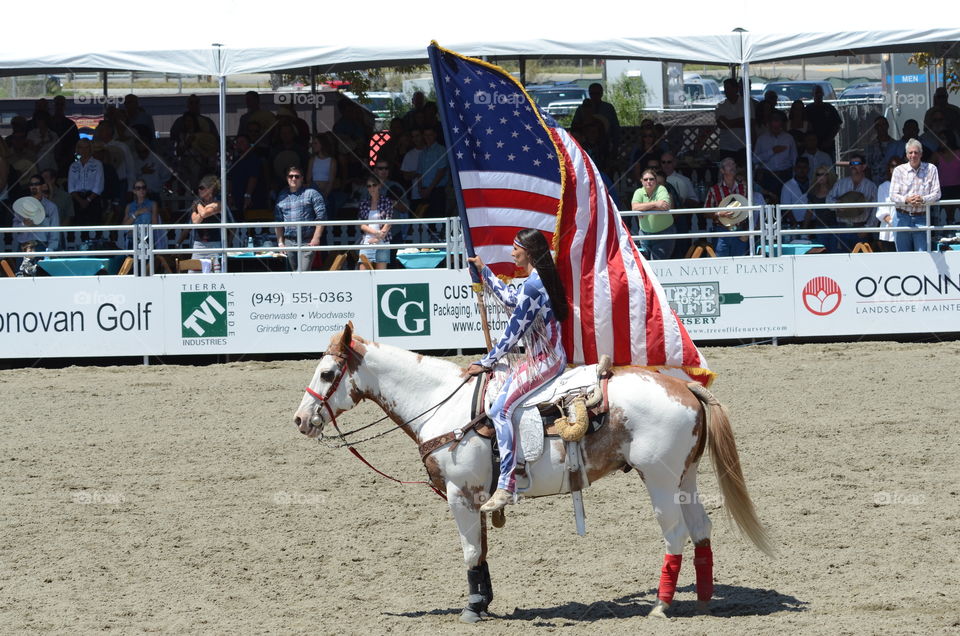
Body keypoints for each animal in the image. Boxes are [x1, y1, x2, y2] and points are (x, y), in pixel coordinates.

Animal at [292, 326, 772, 624]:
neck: (440, 404)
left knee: (675, 534)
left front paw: (471, 608)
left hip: (658, 479)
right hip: (685, 478)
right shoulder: (477, 496)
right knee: (701, 529)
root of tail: (684, 385)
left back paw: (659, 606)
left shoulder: (459, 494)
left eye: (328, 372)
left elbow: (470, 552)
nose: (300, 420)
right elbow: (482, 551)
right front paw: (484, 601)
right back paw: (704, 602)